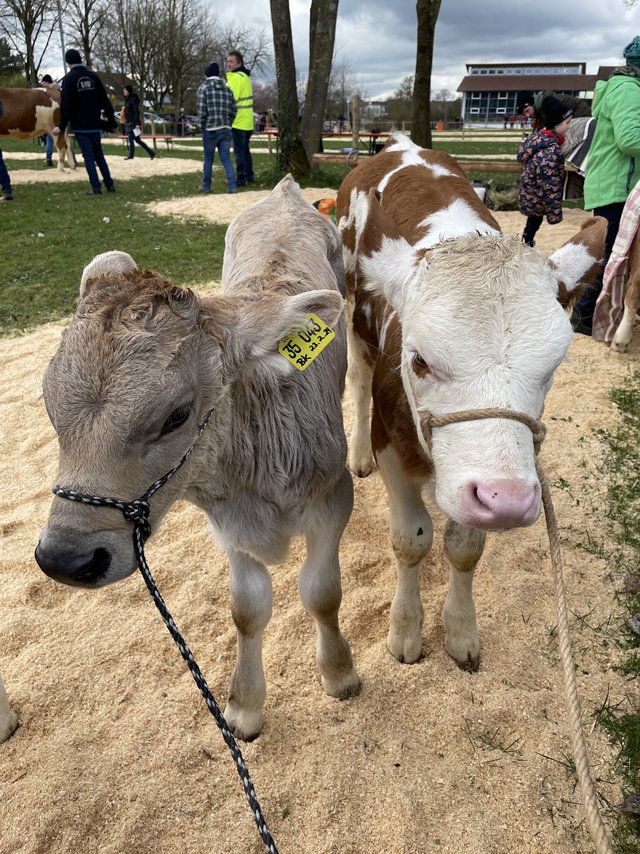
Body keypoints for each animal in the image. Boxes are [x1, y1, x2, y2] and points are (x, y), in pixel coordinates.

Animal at [33, 179, 360, 744]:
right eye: (50, 405)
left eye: (177, 415)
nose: (66, 559)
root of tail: (287, 190)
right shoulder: (226, 525)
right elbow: (247, 610)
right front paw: (244, 709)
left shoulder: (333, 496)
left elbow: (321, 592)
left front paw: (339, 675)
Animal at [336, 132, 604, 668]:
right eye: (418, 359)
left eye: (552, 367)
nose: (508, 501)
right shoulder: (391, 443)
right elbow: (410, 540)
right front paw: (405, 630)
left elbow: (464, 547)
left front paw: (460, 631)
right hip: (354, 318)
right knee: (357, 382)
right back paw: (355, 454)